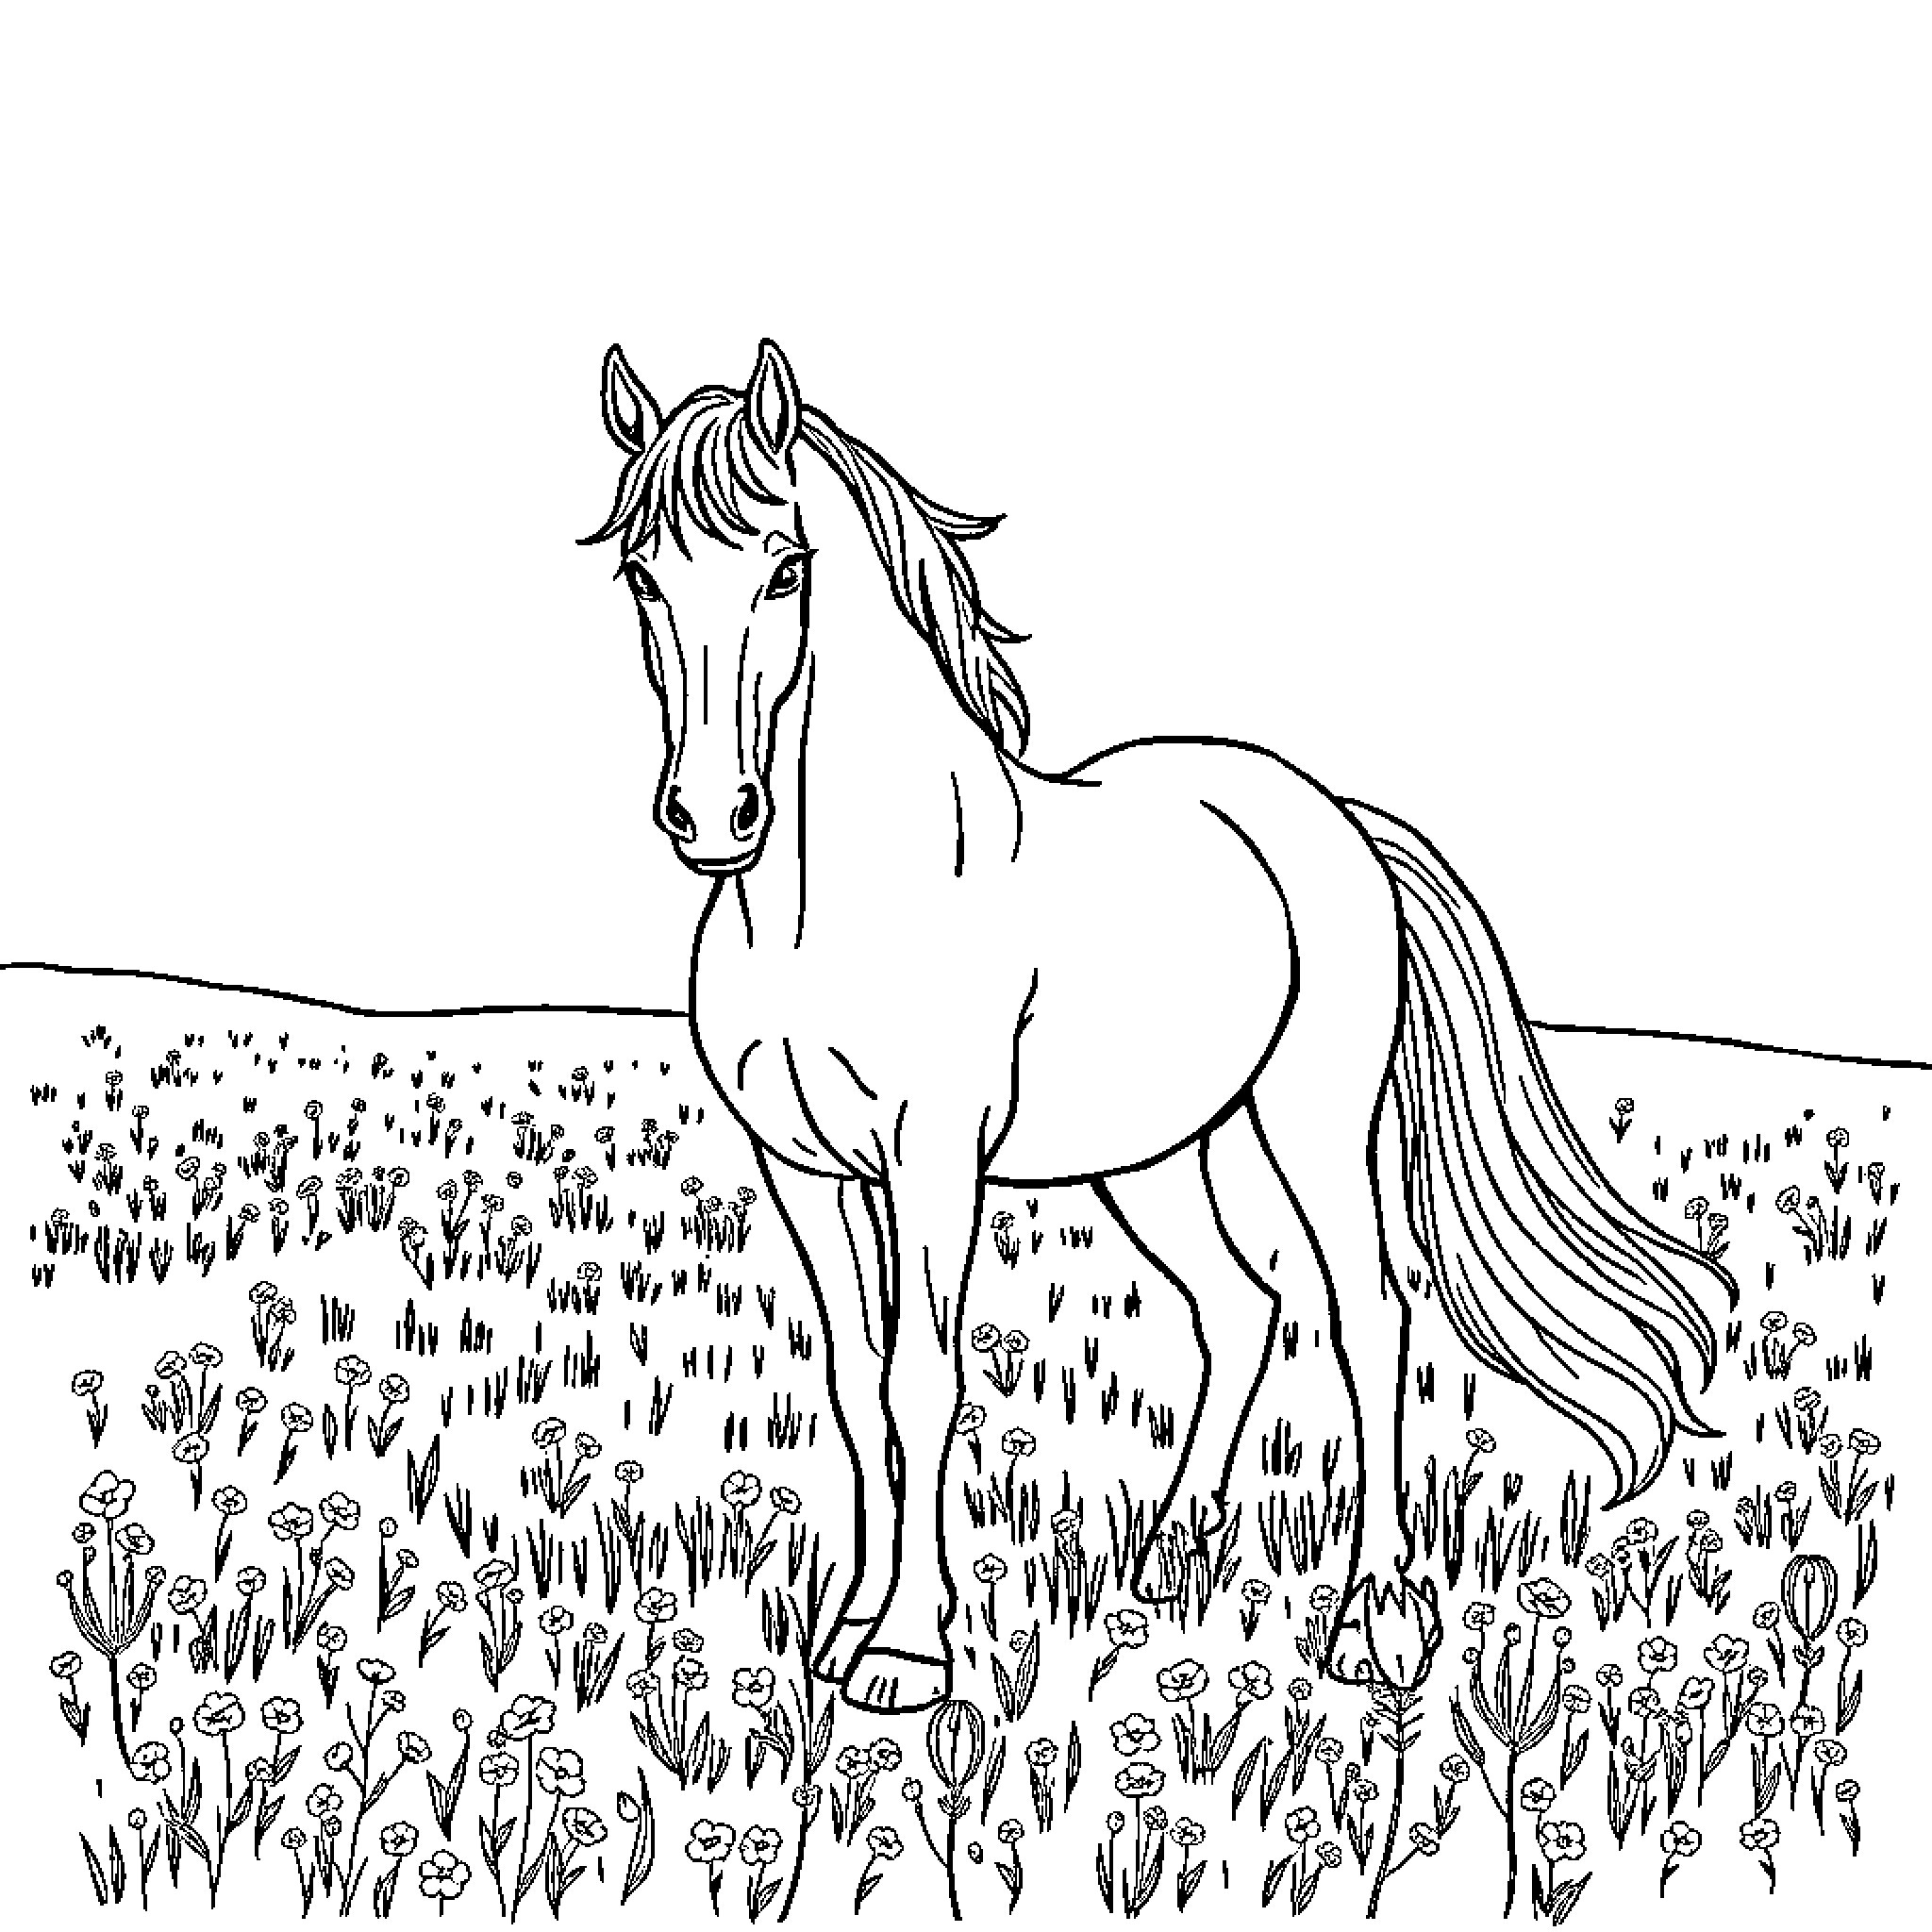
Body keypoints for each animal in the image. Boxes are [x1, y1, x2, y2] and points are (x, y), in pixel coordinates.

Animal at [583, 338, 1729, 1714]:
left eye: (785, 568)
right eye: (643, 576)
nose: (711, 817)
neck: (835, 899)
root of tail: (1327, 814)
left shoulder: (931, 1156)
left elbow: (922, 1375)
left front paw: (908, 1652)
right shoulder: (801, 1165)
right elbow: (857, 1384)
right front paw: (843, 1625)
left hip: (1308, 1126)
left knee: (1368, 1311)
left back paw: (1370, 1623)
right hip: (1157, 1155)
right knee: (1237, 1308)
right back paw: (1172, 1554)